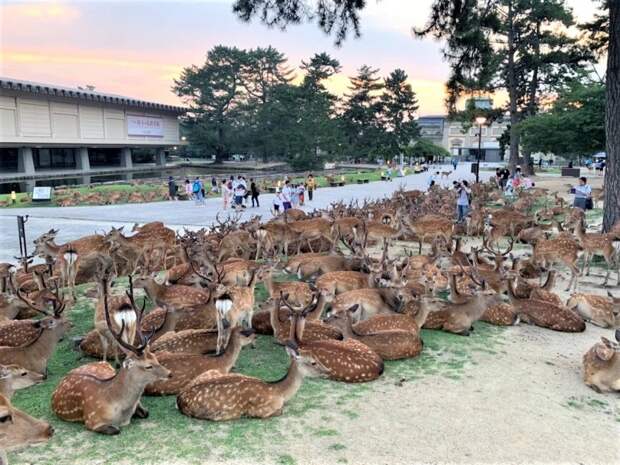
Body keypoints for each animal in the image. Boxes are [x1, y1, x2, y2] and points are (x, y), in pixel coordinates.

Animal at [50, 292, 171, 434]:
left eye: (155, 357)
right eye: (148, 366)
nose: (169, 373)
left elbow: (146, 413)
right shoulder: (92, 421)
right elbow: (116, 430)